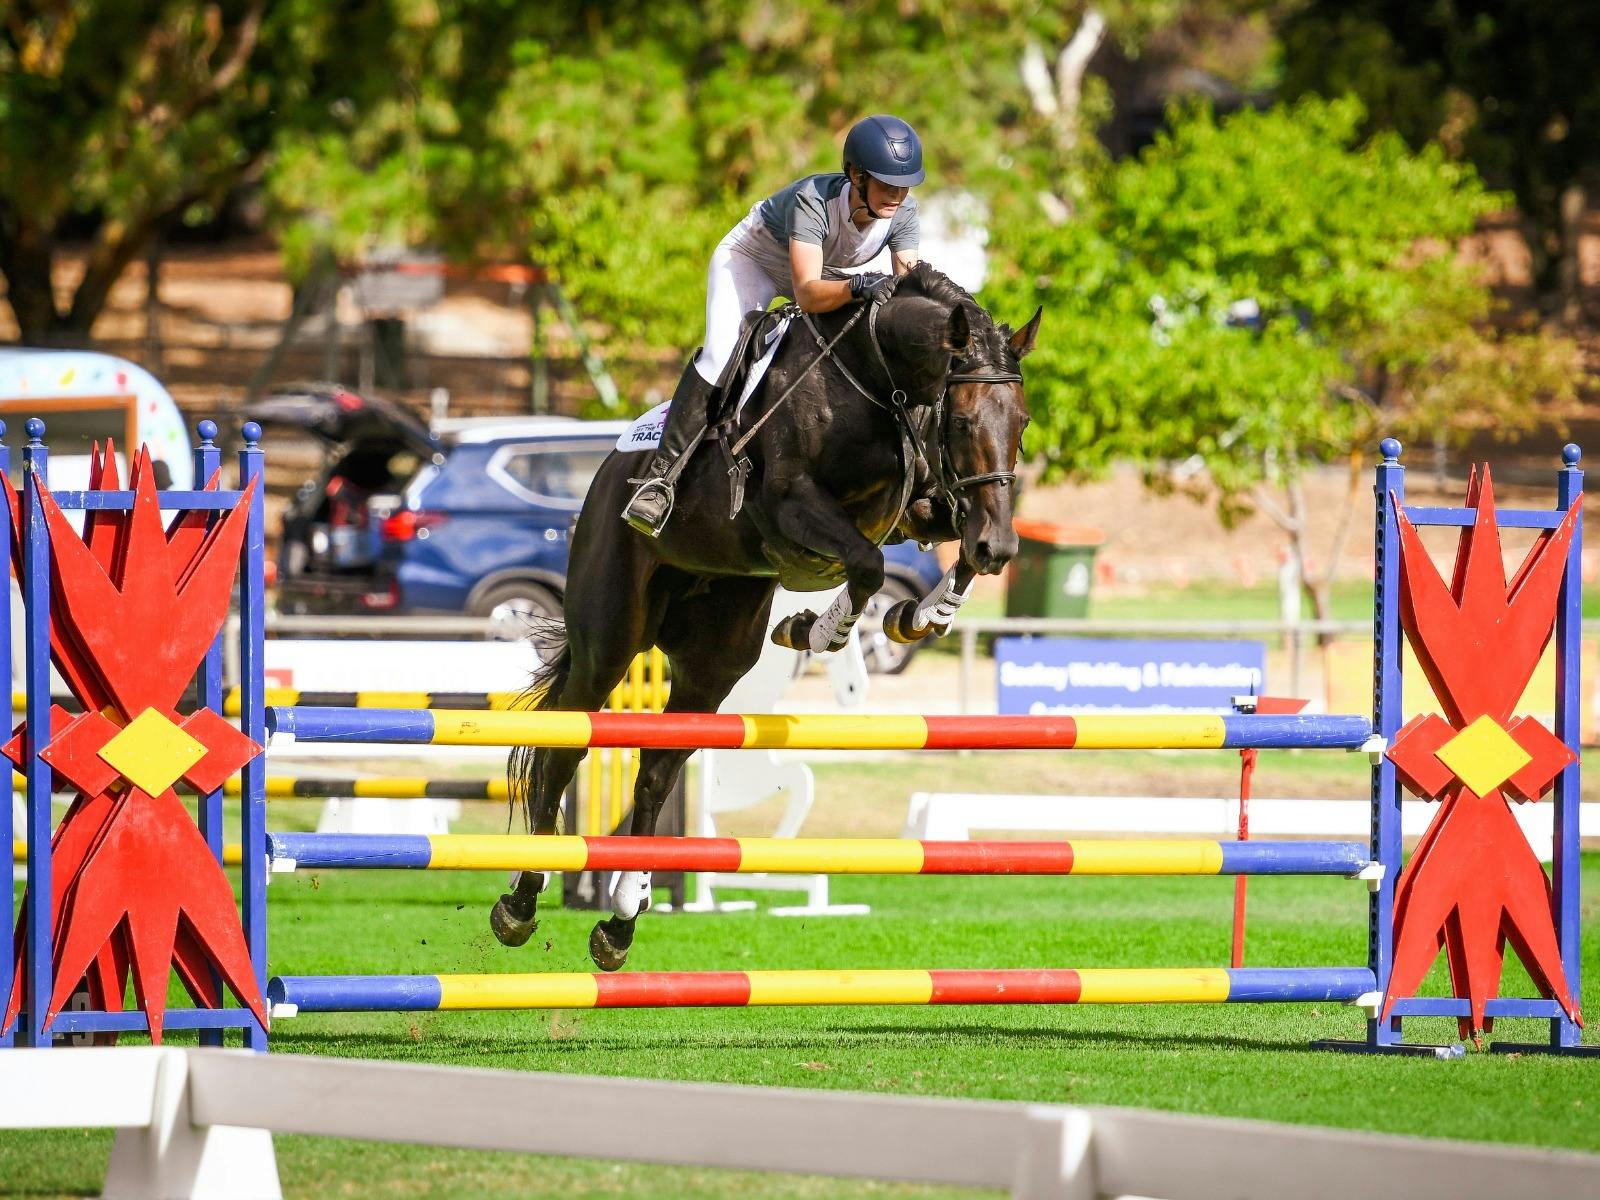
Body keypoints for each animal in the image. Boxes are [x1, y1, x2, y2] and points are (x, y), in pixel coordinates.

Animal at [491, 262, 1041, 970]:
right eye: (966, 420)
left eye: (1021, 423)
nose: (1003, 547)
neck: (878, 381)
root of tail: (608, 473)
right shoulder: (788, 505)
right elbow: (866, 565)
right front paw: (819, 629)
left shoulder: (925, 503)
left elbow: (944, 549)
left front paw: (919, 616)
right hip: (609, 640)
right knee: (563, 749)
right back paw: (521, 900)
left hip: (712, 666)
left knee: (656, 772)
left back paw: (620, 921)